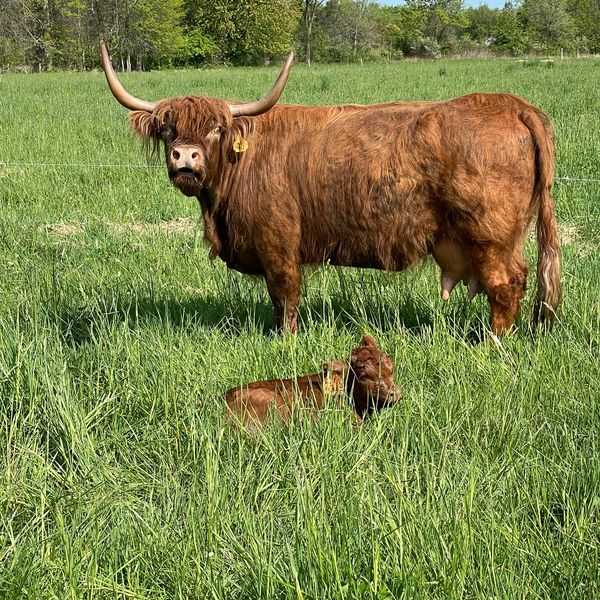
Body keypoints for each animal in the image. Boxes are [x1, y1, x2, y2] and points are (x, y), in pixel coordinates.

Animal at [98, 44, 556, 336]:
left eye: (216, 128)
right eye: (167, 128)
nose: (185, 156)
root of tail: (512, 105)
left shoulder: (278, 241)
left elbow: (285, 294)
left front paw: (285, 340)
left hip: (489, 237)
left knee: (507, 284)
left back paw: (493, 343)